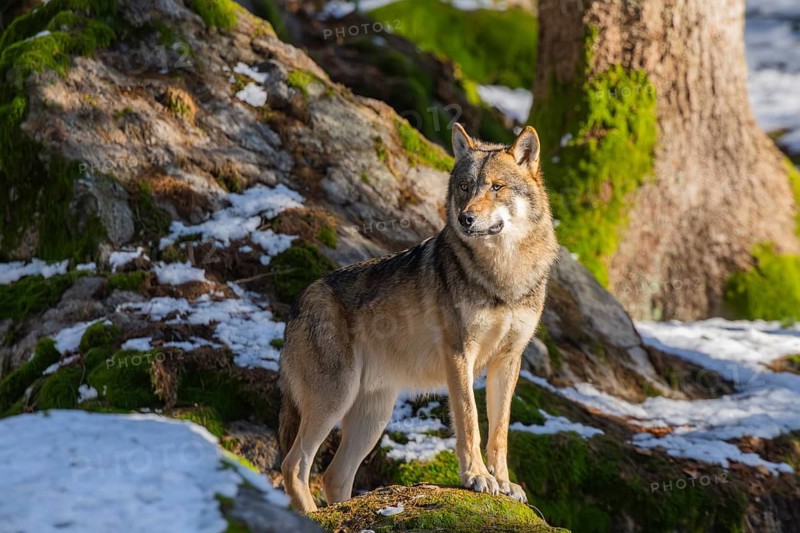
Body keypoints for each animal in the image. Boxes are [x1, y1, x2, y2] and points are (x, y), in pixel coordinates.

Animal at [278, 124, 559, 512]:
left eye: (496, 187)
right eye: (464, 187)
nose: (465, 218)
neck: (504, 275)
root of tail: (297, 305)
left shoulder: (508, 360)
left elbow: (500, 431)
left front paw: (504, 483)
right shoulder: (459, 354)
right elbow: (469, 422)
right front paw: (476, 477)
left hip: (373, 416)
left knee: (333, 475)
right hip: (336, 399)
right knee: (294, 466)